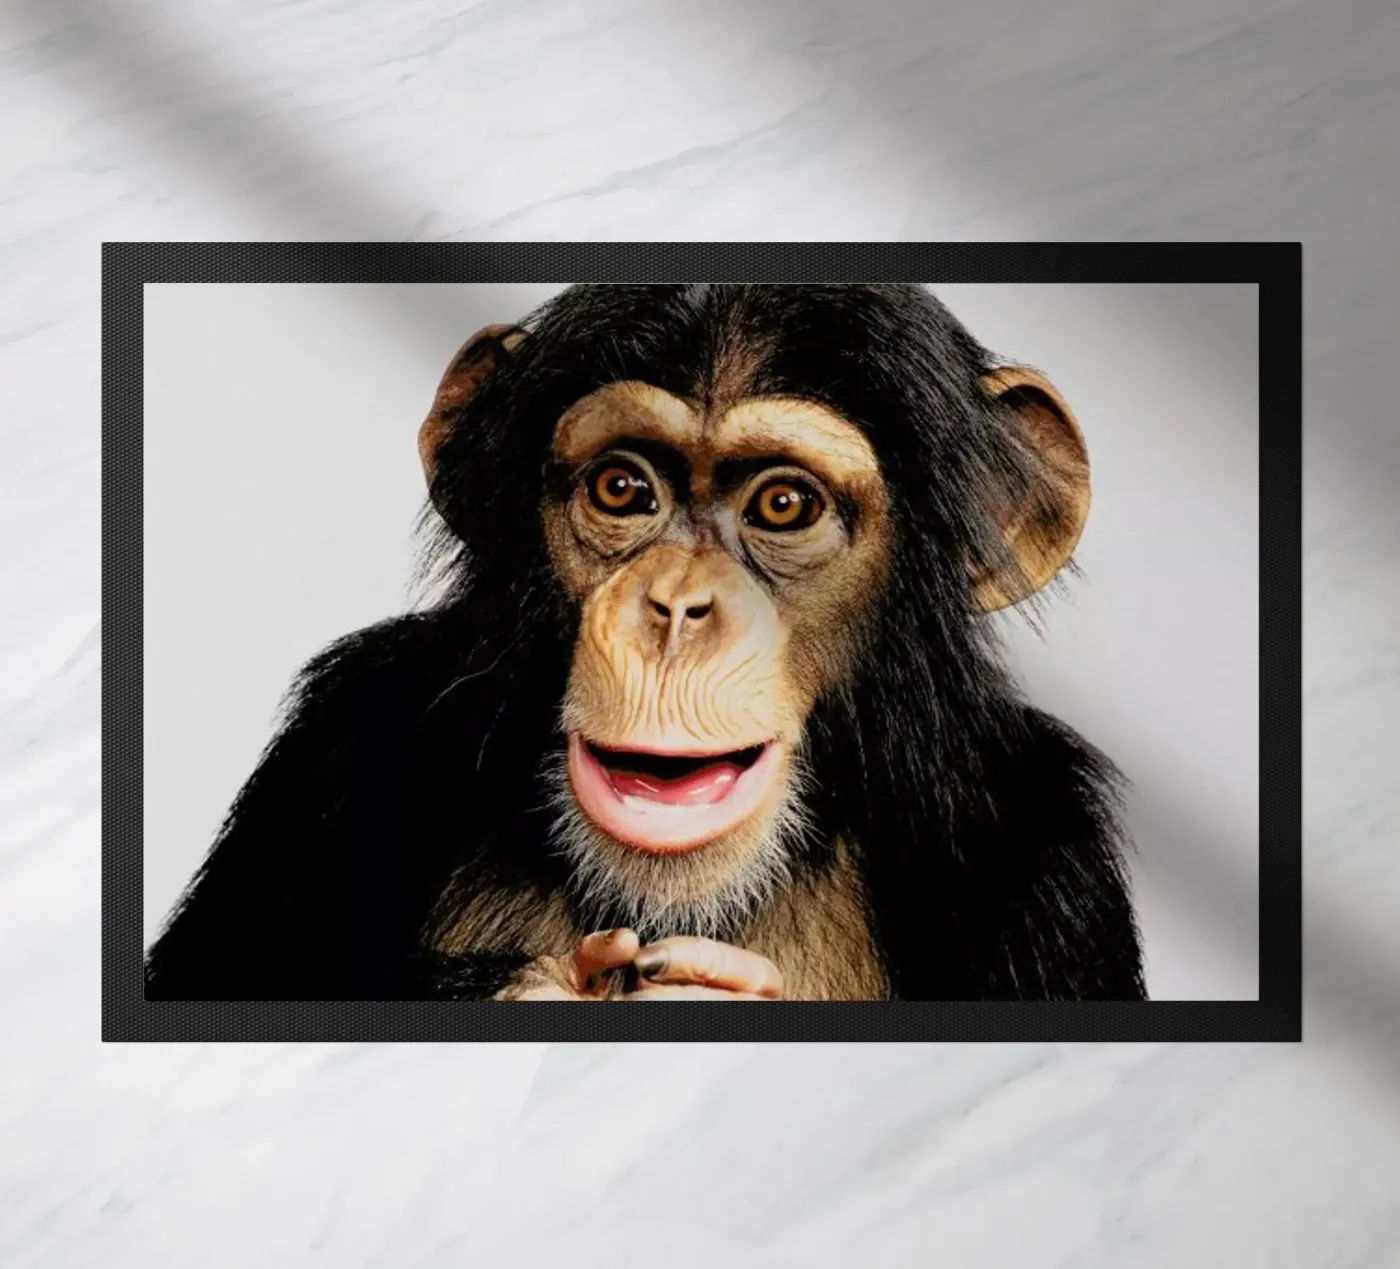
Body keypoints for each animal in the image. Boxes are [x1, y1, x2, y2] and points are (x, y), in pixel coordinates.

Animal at [143, 283, 1146, 1003]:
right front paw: (539, 989)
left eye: (785, 504)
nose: (673, 604)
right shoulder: (340, 741)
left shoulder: (1051, 862)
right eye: (623, 488)